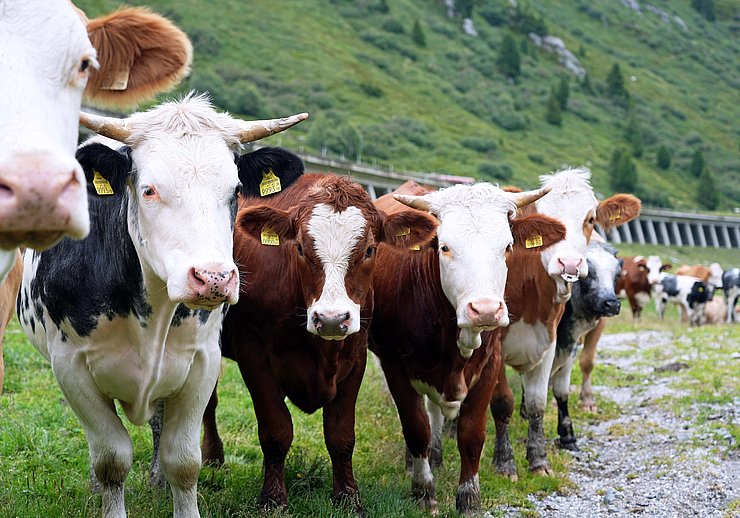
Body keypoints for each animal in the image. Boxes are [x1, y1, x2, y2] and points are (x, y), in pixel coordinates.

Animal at [16, 94, 307, 518]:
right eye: (149, 190)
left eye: (236, 189)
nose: (214, 277)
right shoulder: (70, 368)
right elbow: (110, 458)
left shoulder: (202, 362)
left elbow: (183, 461)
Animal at [199, 173, 437, 514]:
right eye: (299, 247)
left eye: (369, 250)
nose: (332, 318)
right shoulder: (252, 355)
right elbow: (275, 430)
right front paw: (273, 497)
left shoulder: (356, 355)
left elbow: (341, 434)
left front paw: (348, 496)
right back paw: (213, 456)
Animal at [369, 182, 567, 514]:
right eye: (445, 247)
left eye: (508, 247)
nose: (484, 310)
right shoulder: (394, 364)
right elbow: (415, 428)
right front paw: (424, 493)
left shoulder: (490, 363)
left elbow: (472, 434)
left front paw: (469, 499)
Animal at [550, 242, 621, 450]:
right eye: (587, 273)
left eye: (618, 275)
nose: (612, 304)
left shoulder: (569, 348)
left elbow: (561, 391)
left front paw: (567, 436)